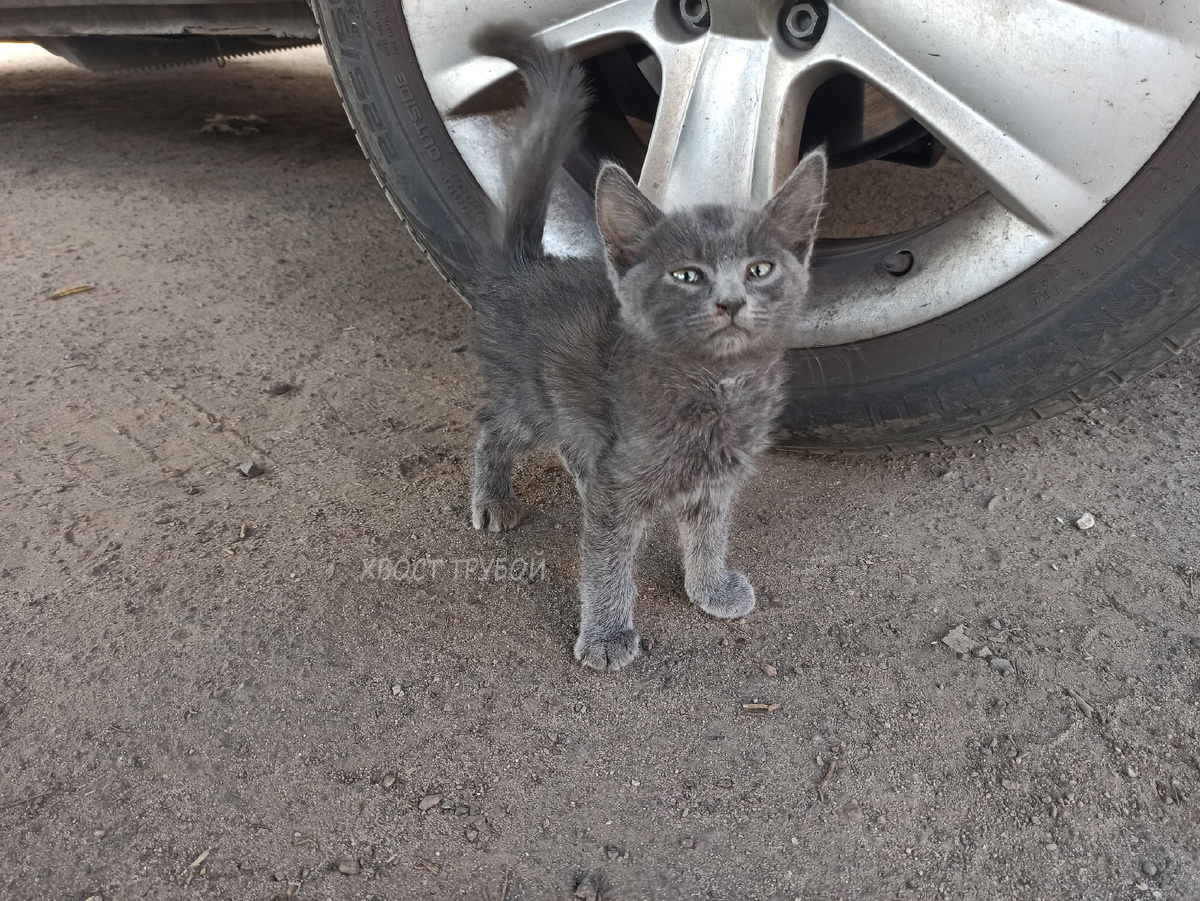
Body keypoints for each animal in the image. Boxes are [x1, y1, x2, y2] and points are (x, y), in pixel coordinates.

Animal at [465, 27, 827, 671]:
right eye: (686, 275)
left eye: (759, 269)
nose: (731, 301)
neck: (715, 390)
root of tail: (527, 269)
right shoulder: (622, 489)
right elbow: (606, 558)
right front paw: (608, 634)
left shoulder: (716, 477)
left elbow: (708, 531)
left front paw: (709, 586)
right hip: (528, 399)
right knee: (493, 426)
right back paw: (492, 496)